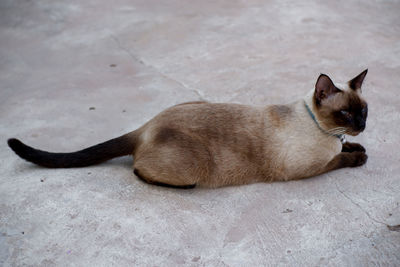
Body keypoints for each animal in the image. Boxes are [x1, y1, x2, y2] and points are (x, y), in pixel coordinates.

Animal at [7, 70, 368, 189]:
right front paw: (358, 157)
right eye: (344, 113)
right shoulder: (305, 169)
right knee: (141, 171)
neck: (325, 132)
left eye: (363, 111)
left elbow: (345, 148)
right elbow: (339, 159)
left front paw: (358, 146)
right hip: (193, 168)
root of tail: (147, 126)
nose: (362, 126)